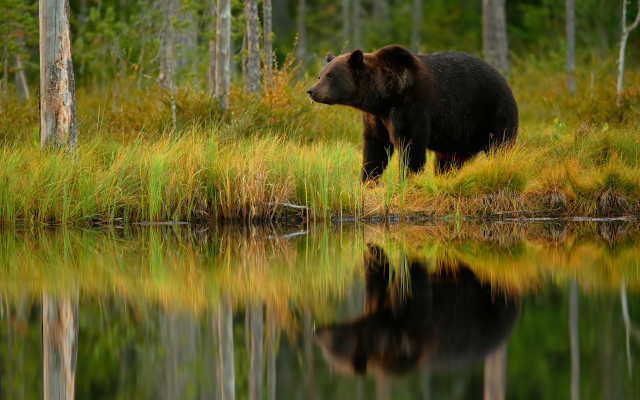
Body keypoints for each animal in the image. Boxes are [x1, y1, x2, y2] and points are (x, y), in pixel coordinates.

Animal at [306, 45, 519, 182]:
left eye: (331, 75)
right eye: (320, 75)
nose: (311, 91)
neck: (383, 96)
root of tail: (504, 79)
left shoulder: (411, 105)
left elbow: (411, 145)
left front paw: (406, 180)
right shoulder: (376, 118)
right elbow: (375, 148)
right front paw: (368, 180)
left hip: (492, 111)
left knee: (500, 145)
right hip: (456, 138)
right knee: (447, 161)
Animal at [314, 244, 520, 375]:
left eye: (328, 345)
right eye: (324, 351)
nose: (316, 331)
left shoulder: (411, 332)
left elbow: (414, 289)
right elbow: (378, 275)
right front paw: (373, 252)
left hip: (490, 302)